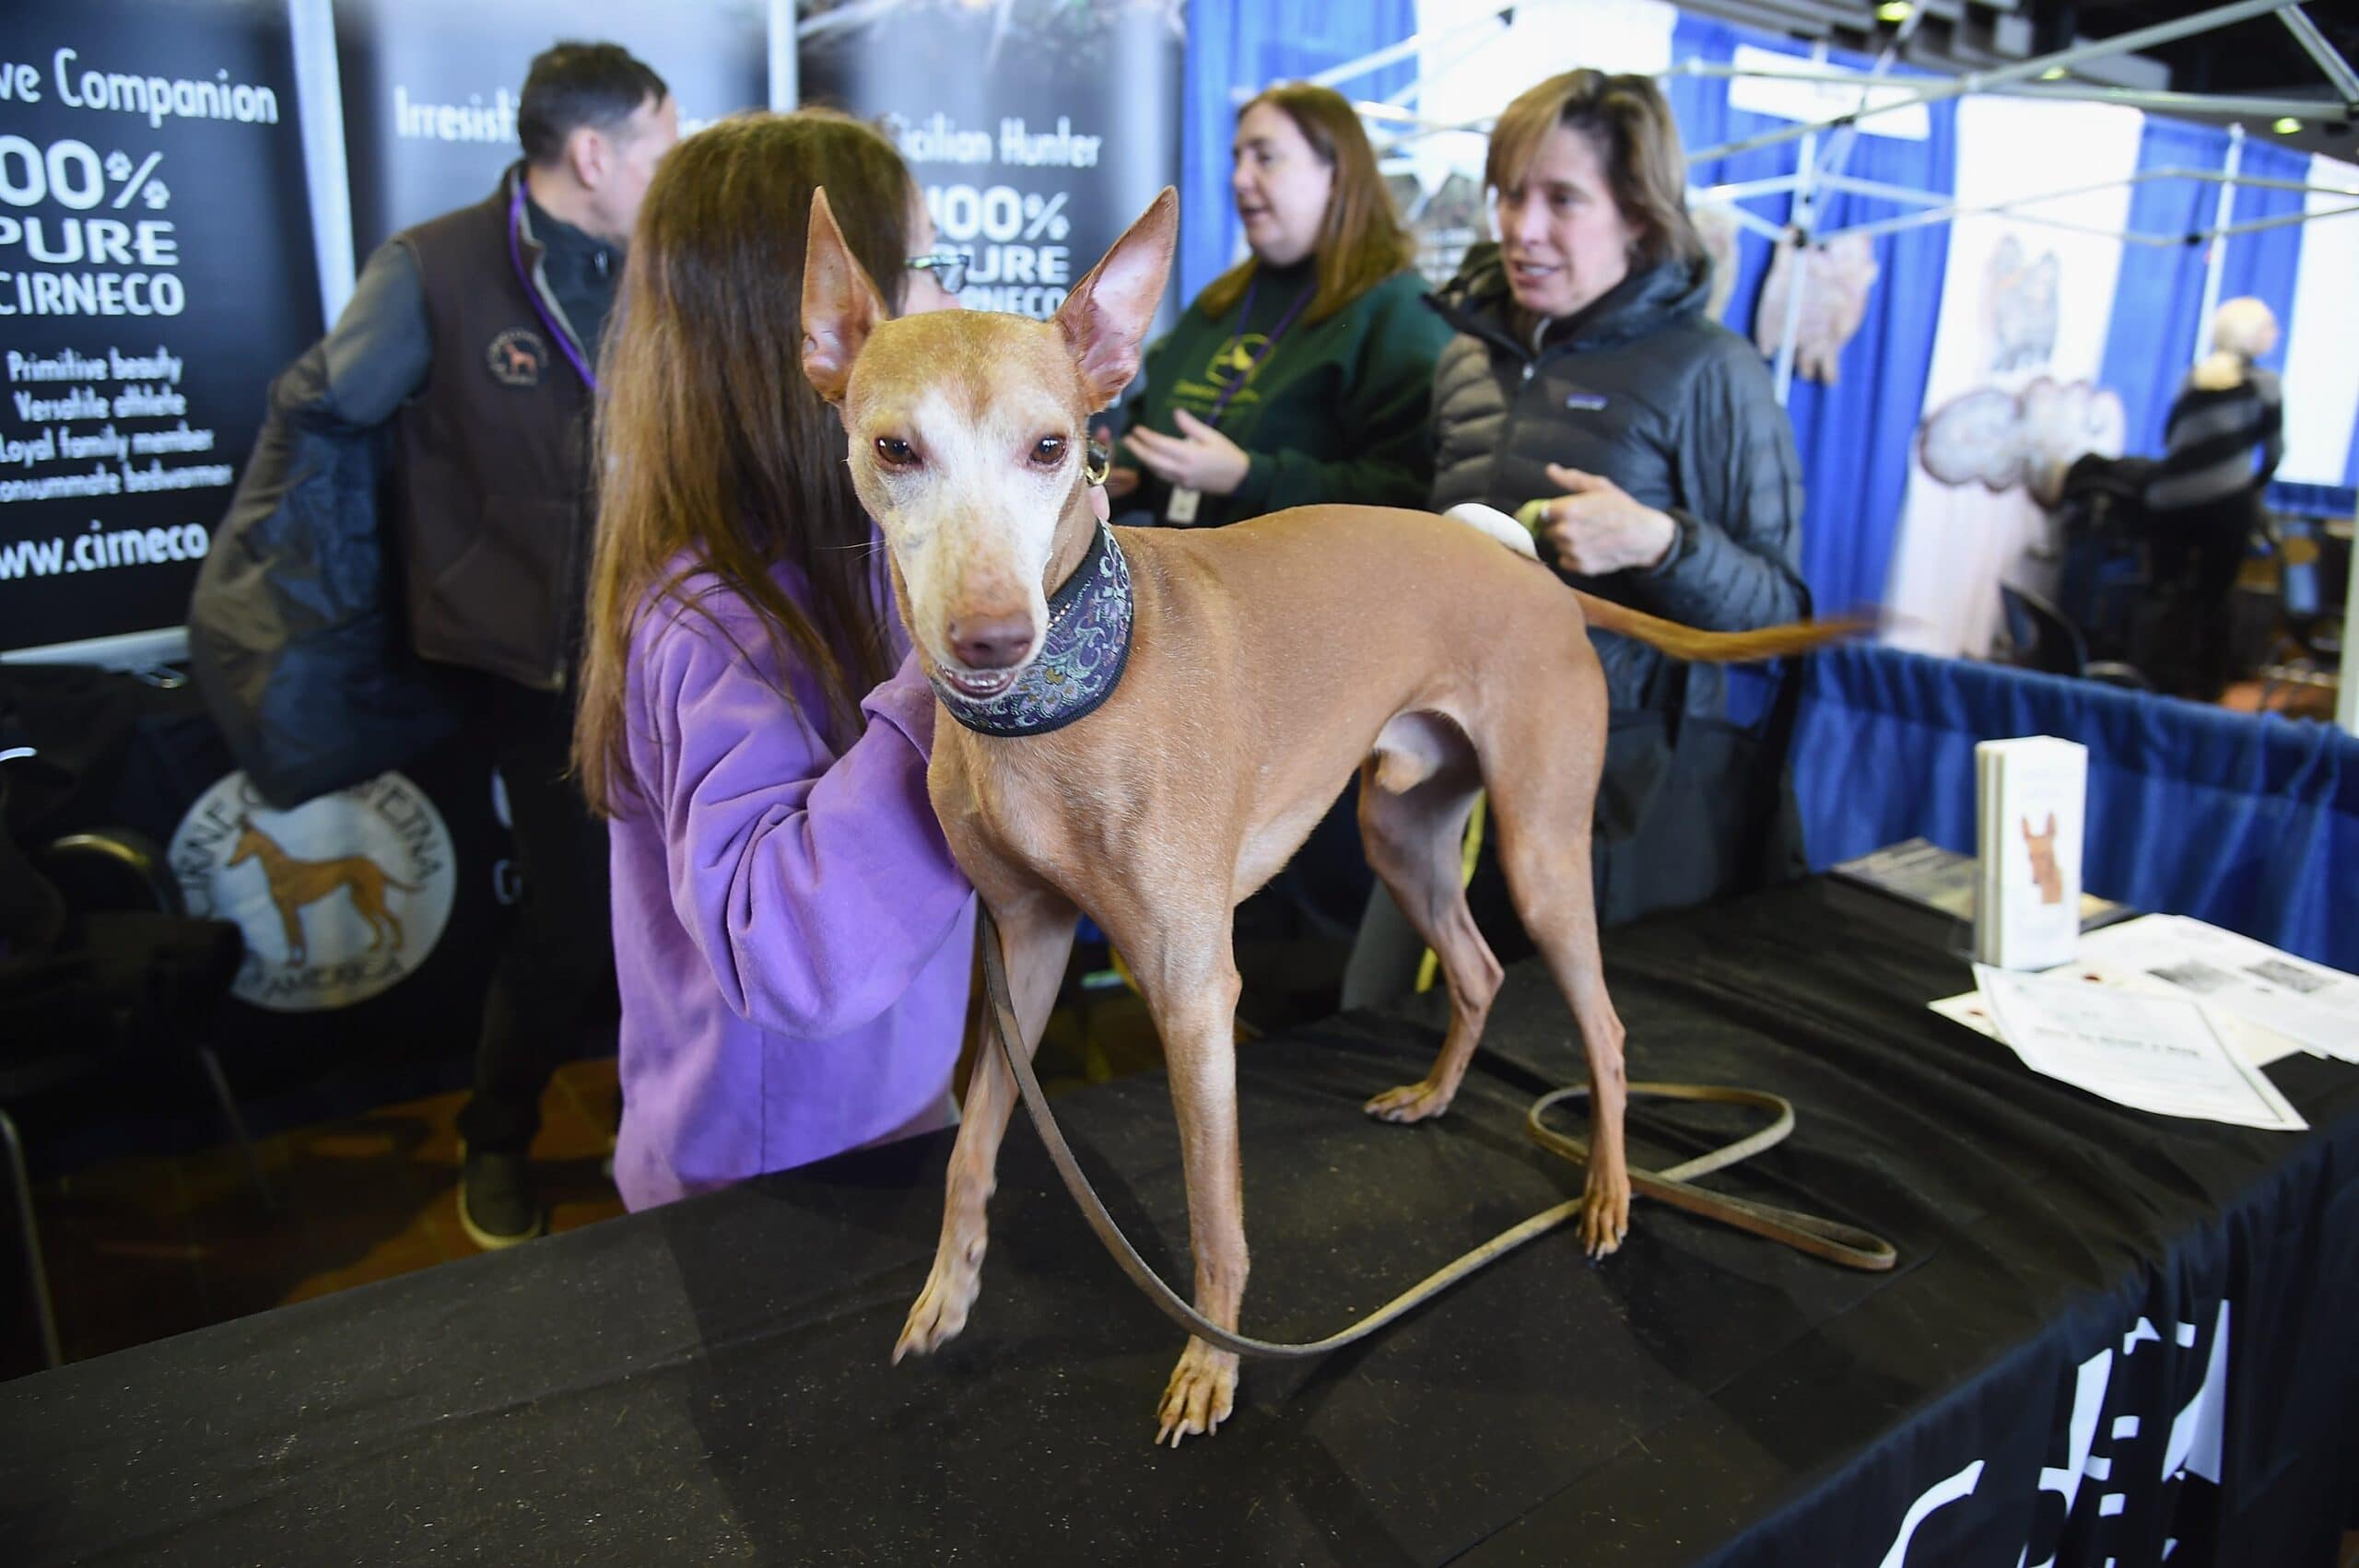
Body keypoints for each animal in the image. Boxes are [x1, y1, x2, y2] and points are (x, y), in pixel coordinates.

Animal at [802, 186, 1849, 1443]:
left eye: (1051, 448)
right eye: (894, 447)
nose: (992, 638)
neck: (1067, 697)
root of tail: (1537, 574)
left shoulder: (1194, 988)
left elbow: (1214, 1207)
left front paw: (1213, 1365)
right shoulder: (1027, 943)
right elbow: (971, 1145)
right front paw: (946, 1295)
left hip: (1543, 852)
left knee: (1602, 1027)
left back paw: (1605, 1194)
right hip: (1405, 835)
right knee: (1478, 969)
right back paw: (1438, 1096)